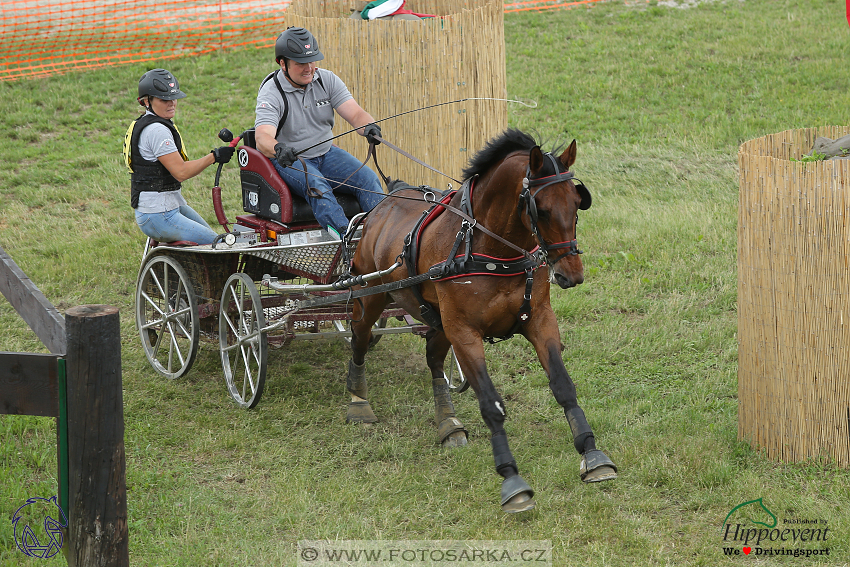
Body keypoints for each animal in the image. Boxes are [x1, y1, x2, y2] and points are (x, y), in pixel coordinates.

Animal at [344, 129, 616, 516]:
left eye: (578, 204)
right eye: (543, 209)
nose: (572, 274)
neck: (490, 247)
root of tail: (386, 200)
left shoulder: (539, 319)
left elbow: (563, 385)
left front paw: (592, 453)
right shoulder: (465, 333)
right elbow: (491, 404)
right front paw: (511, 479)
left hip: (437, 320)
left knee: (433, 359)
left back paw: (448, 423)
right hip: (372, 296)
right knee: (360, 338)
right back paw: (357, 400)